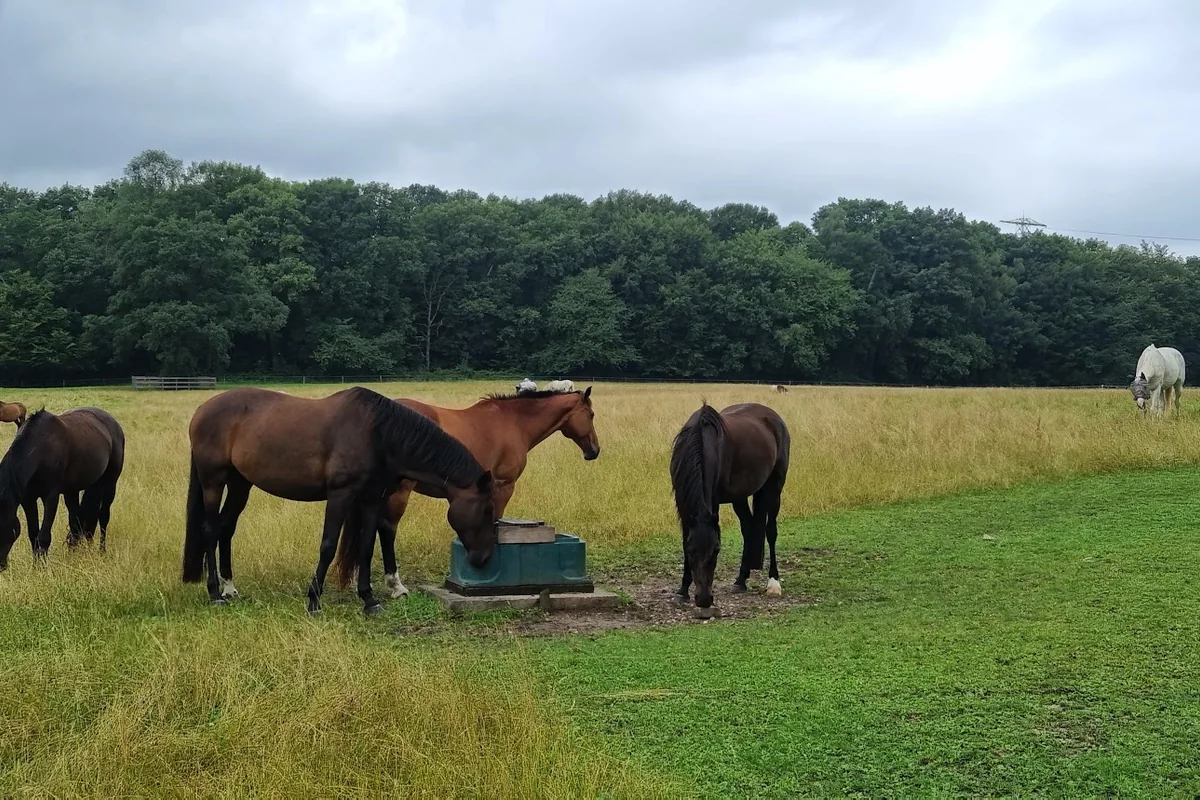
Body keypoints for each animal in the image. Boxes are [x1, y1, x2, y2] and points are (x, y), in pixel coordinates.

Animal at [0, 407, 125, 571]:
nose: (1, 566)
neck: (39, 449)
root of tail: (113, 423)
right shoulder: (28, 499)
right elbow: (33, 534)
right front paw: (36, 566)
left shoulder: (51, 496)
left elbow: (44, 536)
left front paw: (43, 568)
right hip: (74, 490)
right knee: (76, 522)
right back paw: (74, 554)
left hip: (110, 482)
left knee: (103, 516)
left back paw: (101, 552)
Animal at [185, 386, 497, 615]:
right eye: (486, 509)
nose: (484, 558)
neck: (378, 435)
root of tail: (201, 410)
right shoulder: (340, 495)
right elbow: (328, 545)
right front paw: (314, 600)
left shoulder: (372, 499)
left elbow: (366, 547)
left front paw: (369, 600)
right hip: (214, 481)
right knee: (210, 530)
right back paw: (215, 594)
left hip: (240, 484)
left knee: (226, 529)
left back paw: (229, 588)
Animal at [330, 386, 600, 598]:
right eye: (591, 414)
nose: (594, 451)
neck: (514, 422)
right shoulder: (503, 486)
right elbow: (494, 522)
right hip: (399, 492)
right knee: (386, 529)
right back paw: (396, 585)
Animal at [669, 402, 790, 618]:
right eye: (691, 551)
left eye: (717, 550)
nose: (704, 600)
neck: (701, 442)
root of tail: (774, 417)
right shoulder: (682, 503)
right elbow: (684, 539)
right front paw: (682, 591)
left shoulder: (714, 500)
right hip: (740, 497)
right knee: (749, 529)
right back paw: (741, 581)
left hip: (774, 489)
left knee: (771, 531)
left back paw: (773, 583)